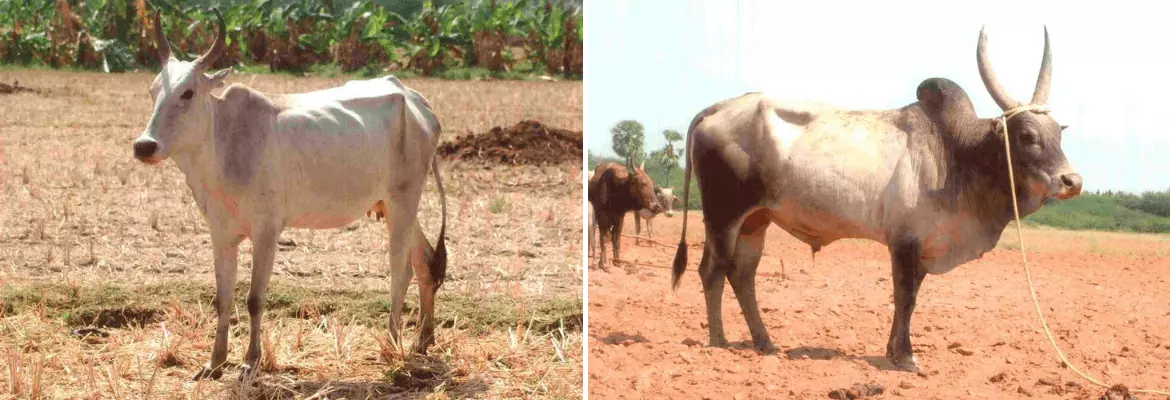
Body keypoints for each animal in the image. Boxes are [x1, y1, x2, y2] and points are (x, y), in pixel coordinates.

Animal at [132, 10, 448, 380]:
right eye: (153, 90)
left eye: (188, 93)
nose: (144, 145)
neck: (224, 145)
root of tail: (416, 100)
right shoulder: (220, 233)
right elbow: (223, 299)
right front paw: (214, 363)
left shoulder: (267, 232)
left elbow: (254, 299)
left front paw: (250, 362)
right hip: (392, 205)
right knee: (425, 259)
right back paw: (422, 341)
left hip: (404, 200)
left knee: (400, 271)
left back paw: (390, 346)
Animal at [671, 27, 1081, 371]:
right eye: (1027, 135)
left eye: (1059, 133)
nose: (1072, 181)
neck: (958, 153)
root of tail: (716, 109)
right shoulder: (904, 243)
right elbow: (905, 298)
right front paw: (906, 358)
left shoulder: (923, 248)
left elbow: (910, 299)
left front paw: (892, 352)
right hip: (723, 215)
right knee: (713, 271)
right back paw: (719, 342)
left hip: (756, 221)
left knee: (743, 275)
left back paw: (764, 342)